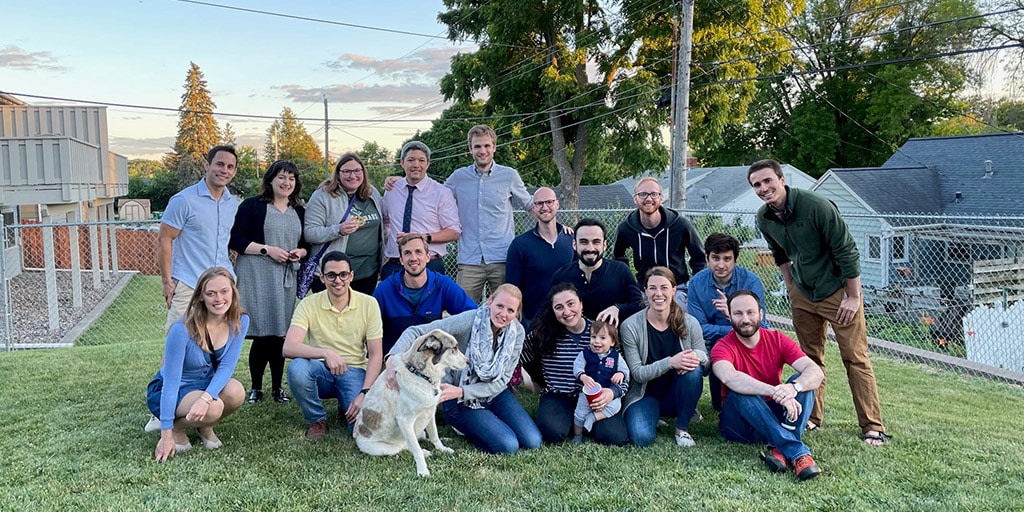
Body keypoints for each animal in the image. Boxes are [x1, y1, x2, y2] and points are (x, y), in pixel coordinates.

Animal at [350, 329, 466, 477]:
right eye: (454, 348)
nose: (469, 361)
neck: (421, 375)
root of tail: (356, 436)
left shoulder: (430, 412)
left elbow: (434, 435)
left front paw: (442, 448)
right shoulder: (405, 421)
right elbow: (415, 449)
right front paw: (423, 470)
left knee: (422, 437)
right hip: (386, 448)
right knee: (405, 446)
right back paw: (425, 452)